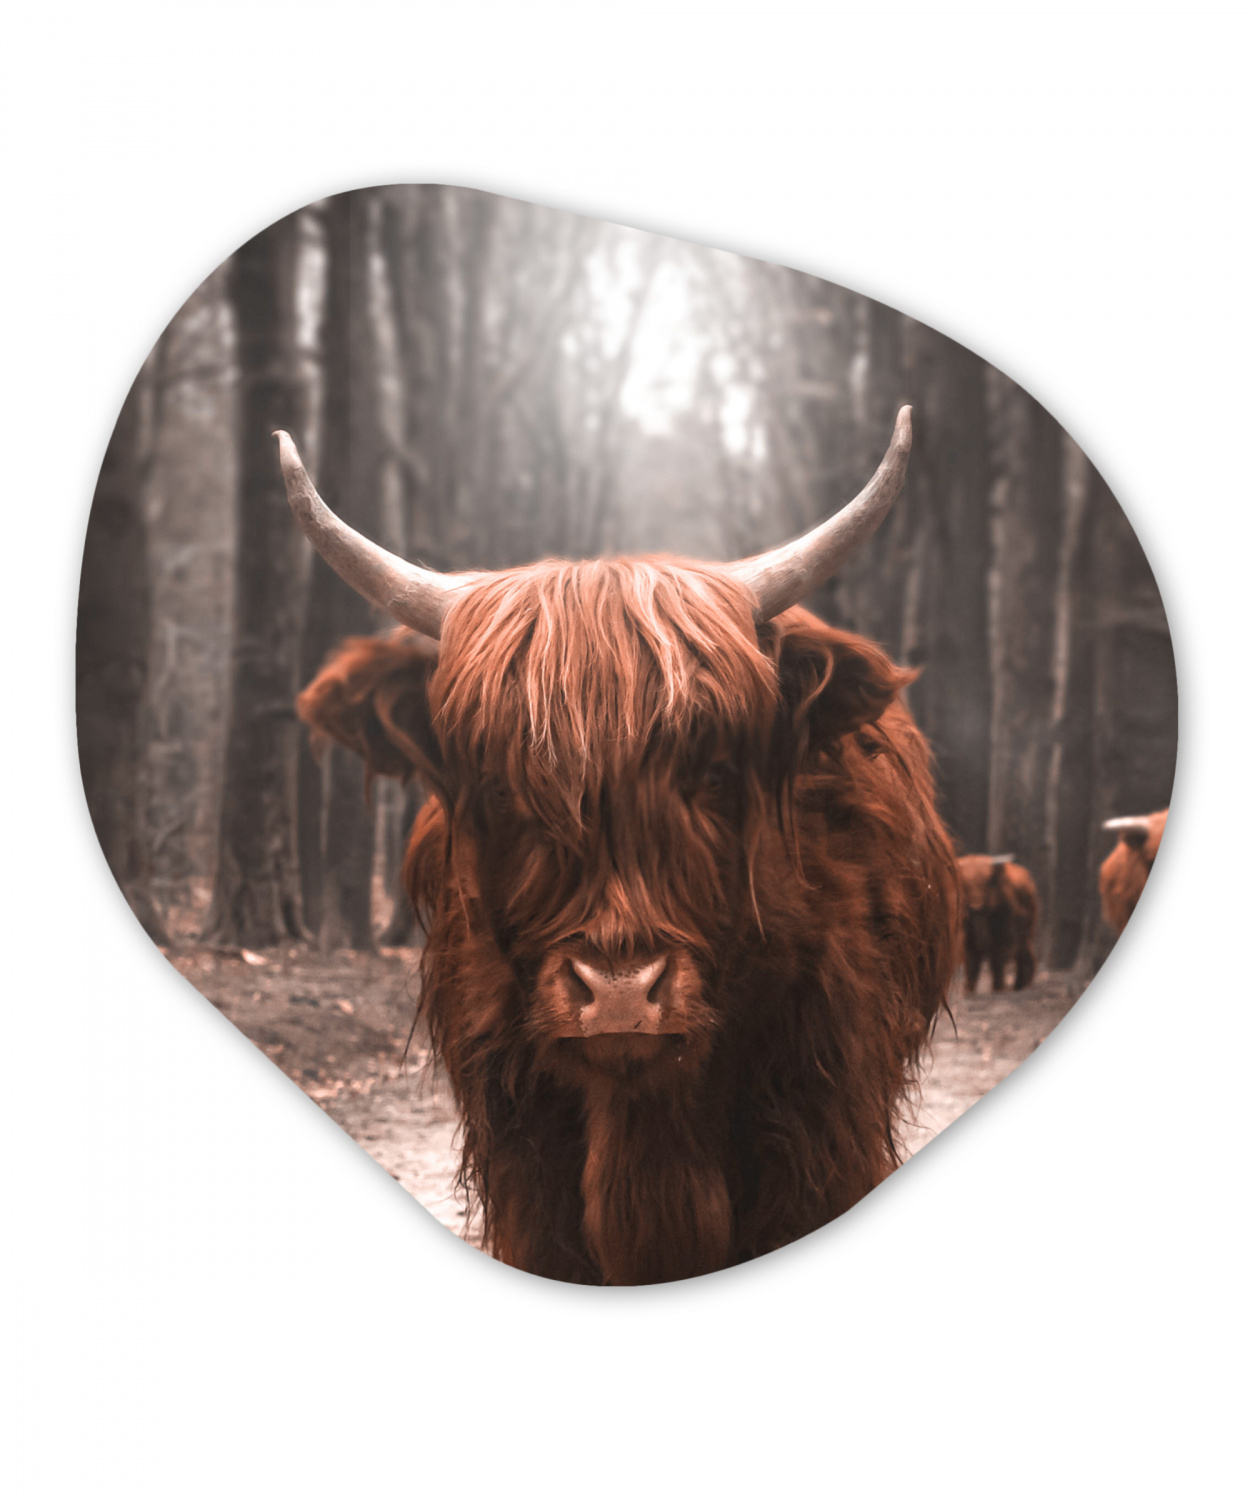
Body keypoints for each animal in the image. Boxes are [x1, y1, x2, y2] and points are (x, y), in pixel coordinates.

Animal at [956, 855, 1038, 994]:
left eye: (987, 883)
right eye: (966, 885)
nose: (976, 906)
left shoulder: (1003, 938)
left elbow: (997, 962)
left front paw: (998, 988)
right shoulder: (967, 942)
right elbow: (971, 964)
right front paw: (968, 991)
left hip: (1027, 933)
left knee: (1025, 954)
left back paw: (1022, 985)